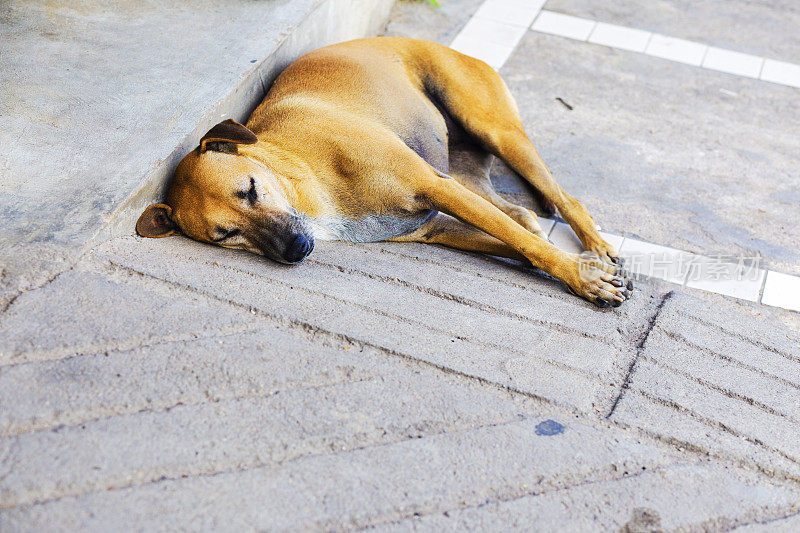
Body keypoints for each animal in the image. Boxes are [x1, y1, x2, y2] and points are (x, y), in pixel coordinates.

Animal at [141, 35, 636, 306]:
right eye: (227, 235)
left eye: (250, 188)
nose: (296, 249)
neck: (308, 179)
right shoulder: (435, 226)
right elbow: (522, 243)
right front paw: (585, 271)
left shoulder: (435, 188)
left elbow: (530, 245)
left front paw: (585, 277)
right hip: (465, 174)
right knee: (522, 215)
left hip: (496, 131)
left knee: (564, 200)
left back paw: (596, 244)